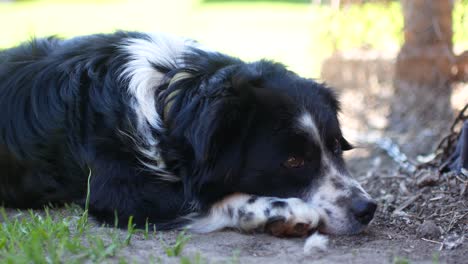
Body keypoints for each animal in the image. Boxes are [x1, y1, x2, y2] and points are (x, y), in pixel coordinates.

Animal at [0, 32, 374, 236]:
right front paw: (289, 212)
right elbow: (208, 199)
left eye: (336, 148)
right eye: (293, 161)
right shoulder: (120, 190)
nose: (367, 209)